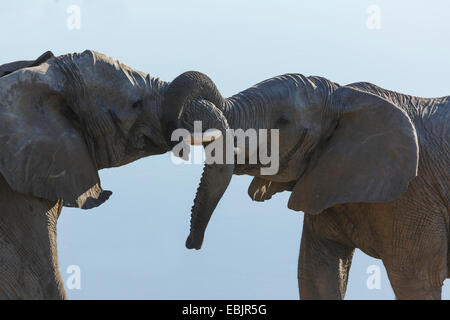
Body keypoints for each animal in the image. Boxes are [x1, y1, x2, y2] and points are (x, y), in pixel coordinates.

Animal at [161, 70, 450, 300]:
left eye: (283, 121)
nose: (191, 243)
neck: (341, 97)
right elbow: (316, 276)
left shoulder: (416, 196)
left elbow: (414, 282)